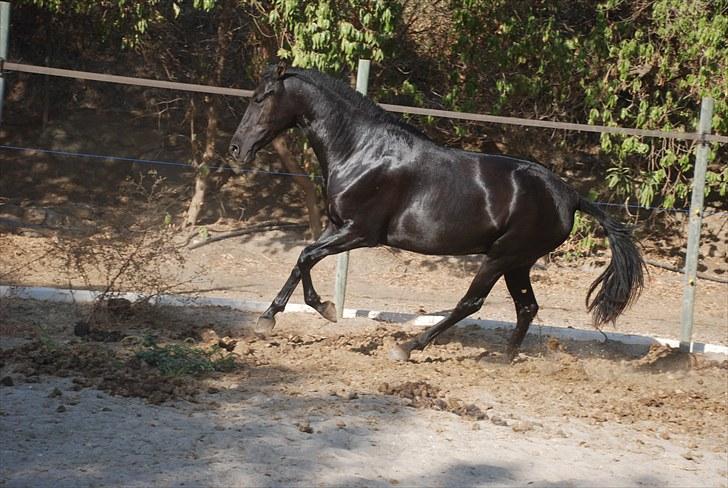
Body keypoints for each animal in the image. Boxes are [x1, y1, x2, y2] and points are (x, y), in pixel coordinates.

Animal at [228, 63, 644, 362]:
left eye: (261, 98)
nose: (236, 148)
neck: (361, 150)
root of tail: (569, 194)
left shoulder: (359, 232)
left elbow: (305, 256)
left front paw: (284, 316)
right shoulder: (337, 226)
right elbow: (304, 259)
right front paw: (306, 311)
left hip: (502, 257)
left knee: (471, 303)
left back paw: (408, 348)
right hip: (518, 262)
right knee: (527, 307)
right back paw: (502, 359)